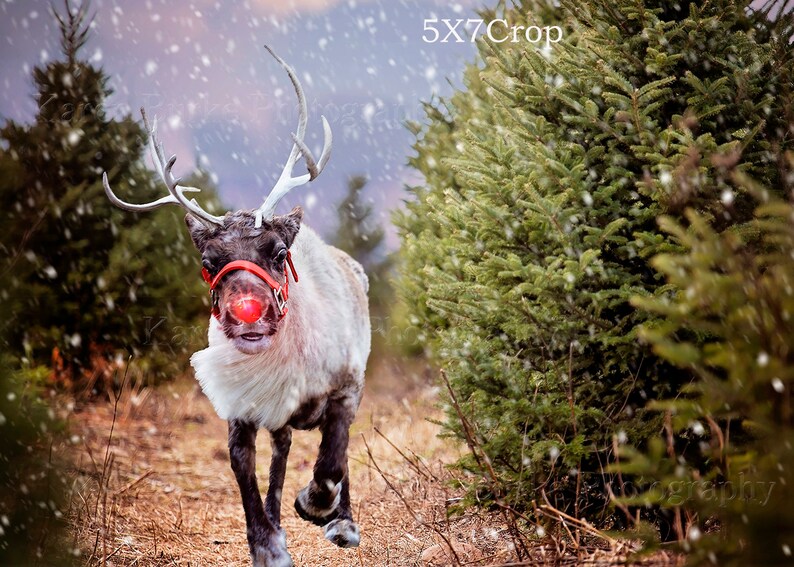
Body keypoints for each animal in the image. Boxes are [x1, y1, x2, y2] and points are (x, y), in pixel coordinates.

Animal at [102, 47, 370, 567]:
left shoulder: (345, 387)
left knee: (332, 455)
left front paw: (318, 507)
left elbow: (332, 461)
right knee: (282, 449)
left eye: (279, 252)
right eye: (209, 262)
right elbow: (242, 466)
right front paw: (267, 543)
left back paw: (340, 521)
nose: (247, 313)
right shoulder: (241, 406)